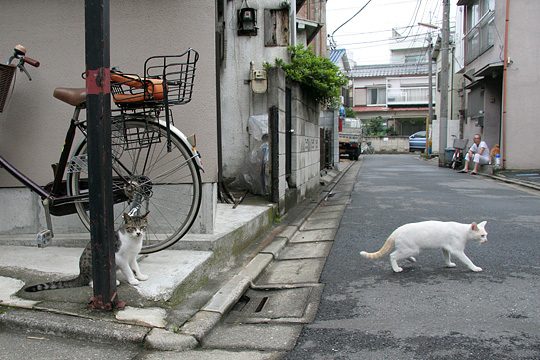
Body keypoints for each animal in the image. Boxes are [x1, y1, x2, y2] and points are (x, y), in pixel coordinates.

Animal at [360, 219, 488, 272]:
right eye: (482, 235)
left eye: (486, 235)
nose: (486, 241)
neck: (464, 231)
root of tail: (396, 230)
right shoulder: (458, 251)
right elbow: (468, 260)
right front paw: (475, 268)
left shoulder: (445, 248)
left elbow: (447, 257)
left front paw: (449, 264)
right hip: (412, 249)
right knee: (392, 255)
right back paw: (396, 269)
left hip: (410, 249)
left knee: (399, 254)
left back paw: (411, 260)